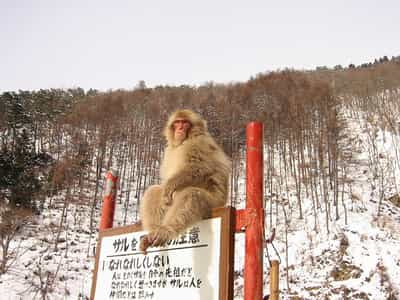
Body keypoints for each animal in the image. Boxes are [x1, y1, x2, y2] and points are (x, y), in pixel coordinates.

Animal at [138, 108, 230, 253]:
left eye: (185, 123)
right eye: (177, 123)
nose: (180, 128)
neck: (183, 142)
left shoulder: (198, 143)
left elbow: (198, 169)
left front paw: (169, 186)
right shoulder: (169, 151)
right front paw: (165, 190)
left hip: (215, 202)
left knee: (192, 194)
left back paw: (165, 231)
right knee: (154, 191)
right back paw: (151, 234)